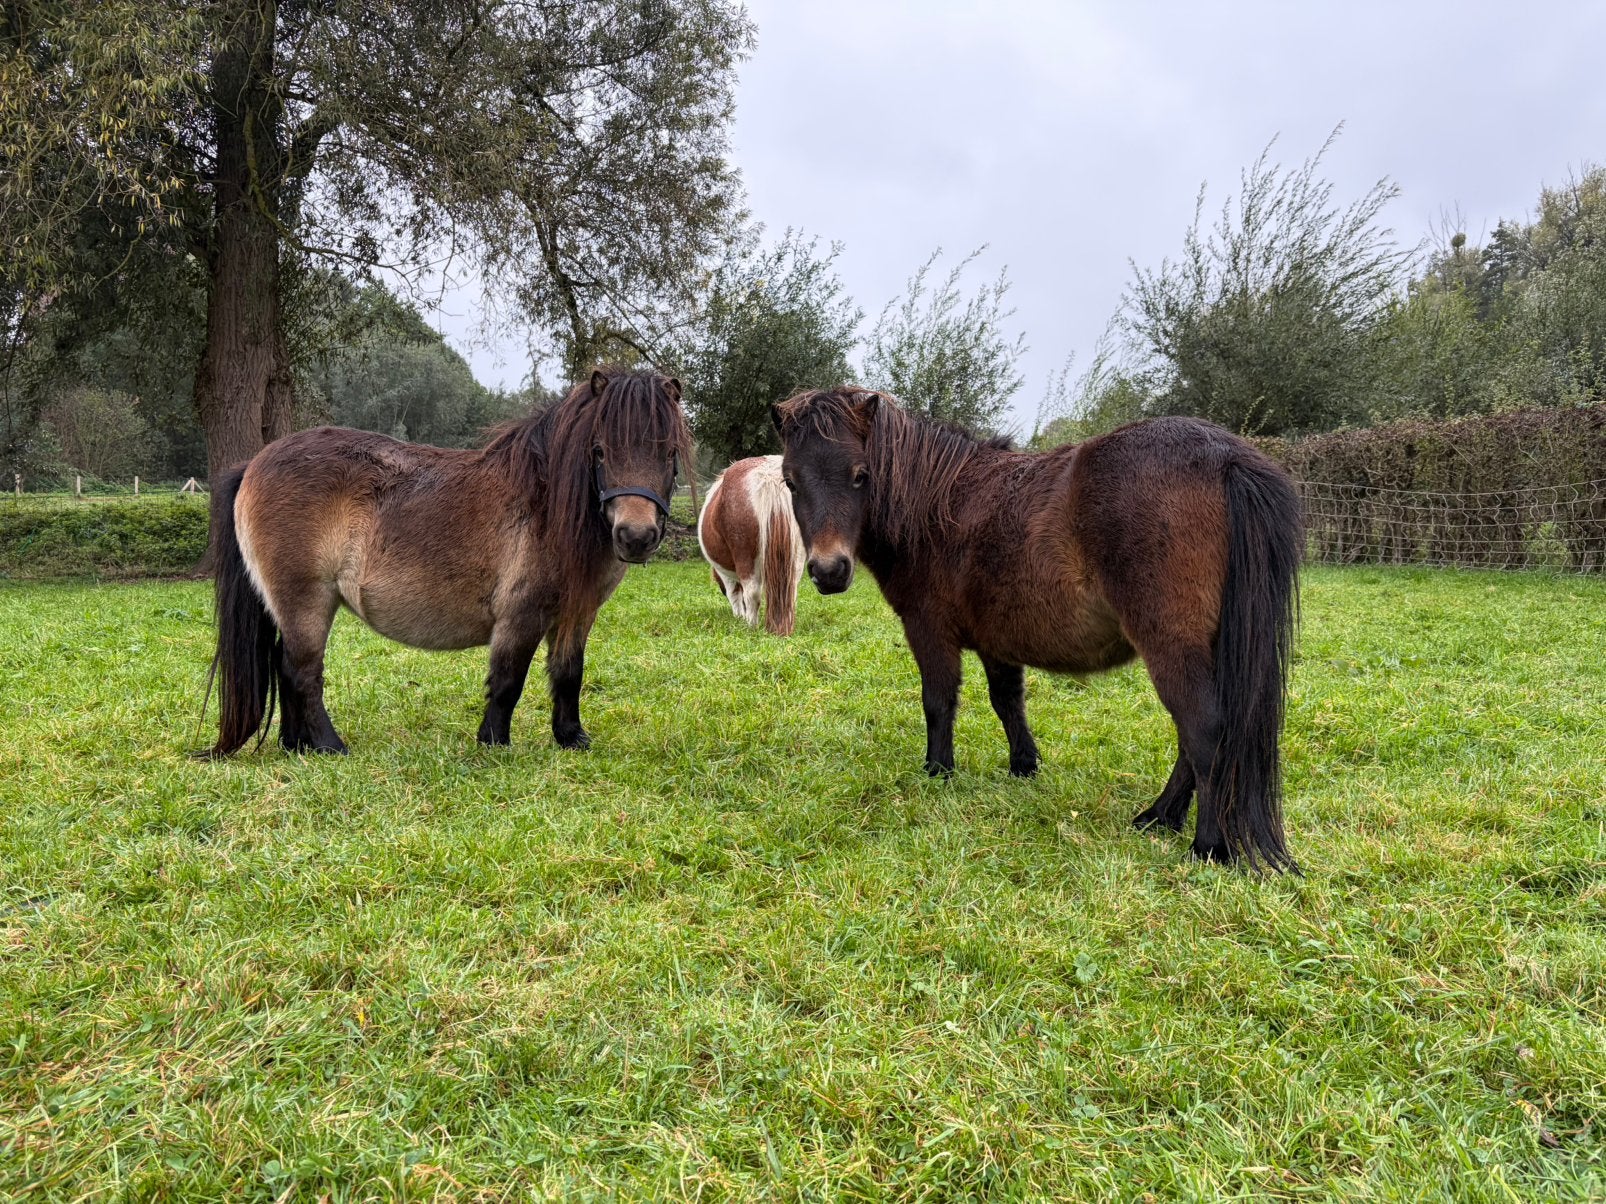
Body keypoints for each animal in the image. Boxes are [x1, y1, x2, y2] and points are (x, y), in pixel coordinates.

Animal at [203, 368, 690, 757]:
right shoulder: (521, 615)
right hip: (306, 601)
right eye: (600, 451)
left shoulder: (577, 613)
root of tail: (254, 463)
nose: (636, 536)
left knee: (284, 667)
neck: (547, 504)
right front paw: (494, 744)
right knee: (301, 670)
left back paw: (296, 746)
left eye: (669, 454)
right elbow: (508, 681)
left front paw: (571, 738)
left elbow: (569, 673)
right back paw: (328, 745)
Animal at [697, 455, 806, 635]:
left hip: (745, 557)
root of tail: (769, 477)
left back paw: (750, 625)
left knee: (752, 593)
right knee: (792, 590)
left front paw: (739, 617)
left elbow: (734, 595)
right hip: (795, 559)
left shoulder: (725, 574)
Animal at [772, 388, 1302, 871]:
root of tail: (1225, 457)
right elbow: (1007, 701)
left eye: (860, 475)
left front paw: (938, 771)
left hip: (1172, 646)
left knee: (1203, 731)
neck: (937, 505)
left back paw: (1207, 845)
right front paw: (1023, 766)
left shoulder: (929, 630)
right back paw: (1158, 817)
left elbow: (938, 702)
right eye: (790, 482)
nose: (829, 571)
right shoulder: (996, 638)